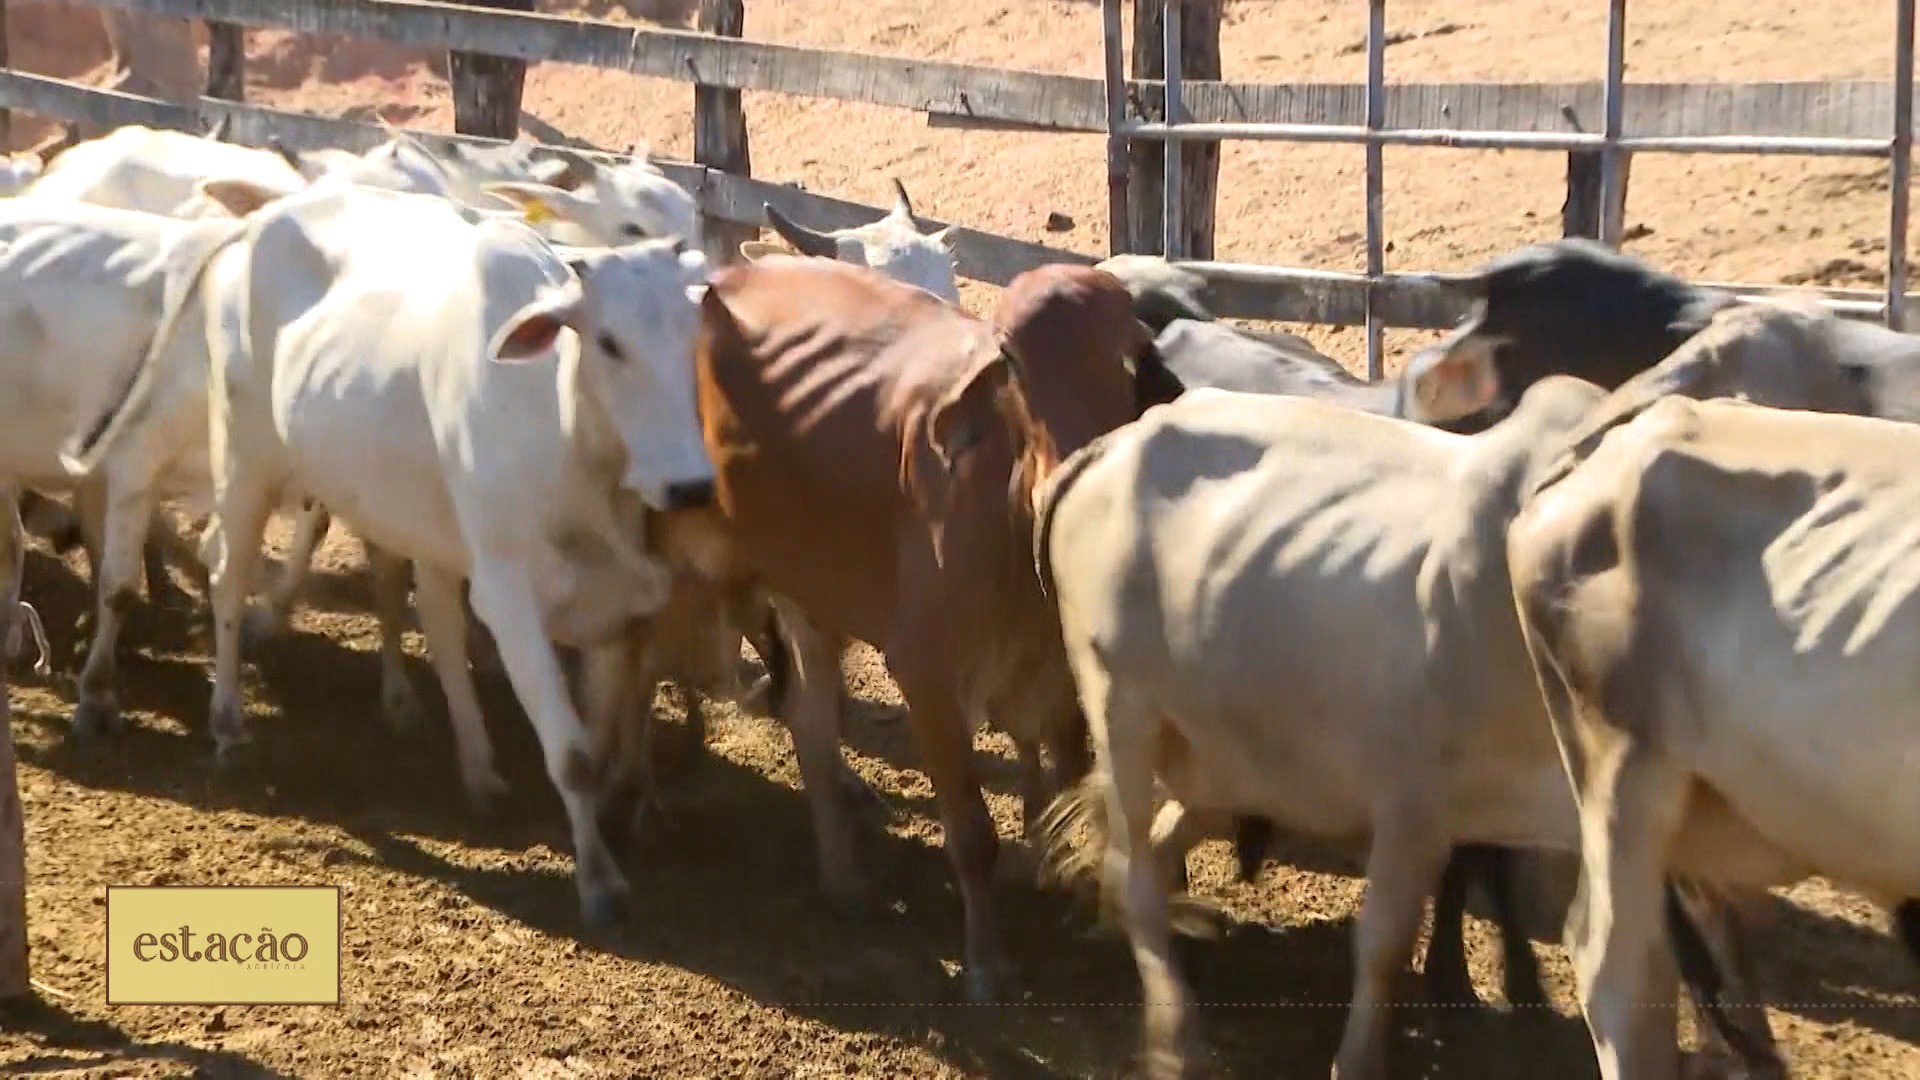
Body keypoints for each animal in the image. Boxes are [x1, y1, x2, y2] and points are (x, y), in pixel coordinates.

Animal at [65, 180, 721, 922]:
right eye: (609, 342)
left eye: (696, 336)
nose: (690, 485)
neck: (571, 444)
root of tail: (264, 214)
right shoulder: (508, 593)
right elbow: (575, 756)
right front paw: (599, 882)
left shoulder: (616, 604)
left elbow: (602, 740)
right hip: (243, 456)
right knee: (227, 575)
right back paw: (227, 720)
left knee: (432, 616)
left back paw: (475, 767)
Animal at [687, 255, 1136, 999]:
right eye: (1011, 360)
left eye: (1127, 356)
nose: (1064, 485)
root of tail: (743, 268)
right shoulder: (925, 675)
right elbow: (973, 834)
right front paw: (986, 965)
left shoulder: (1062, 679)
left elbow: (1069, 793)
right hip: (788, 583)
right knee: (810, 719)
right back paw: (844, 877)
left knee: (811, 717)